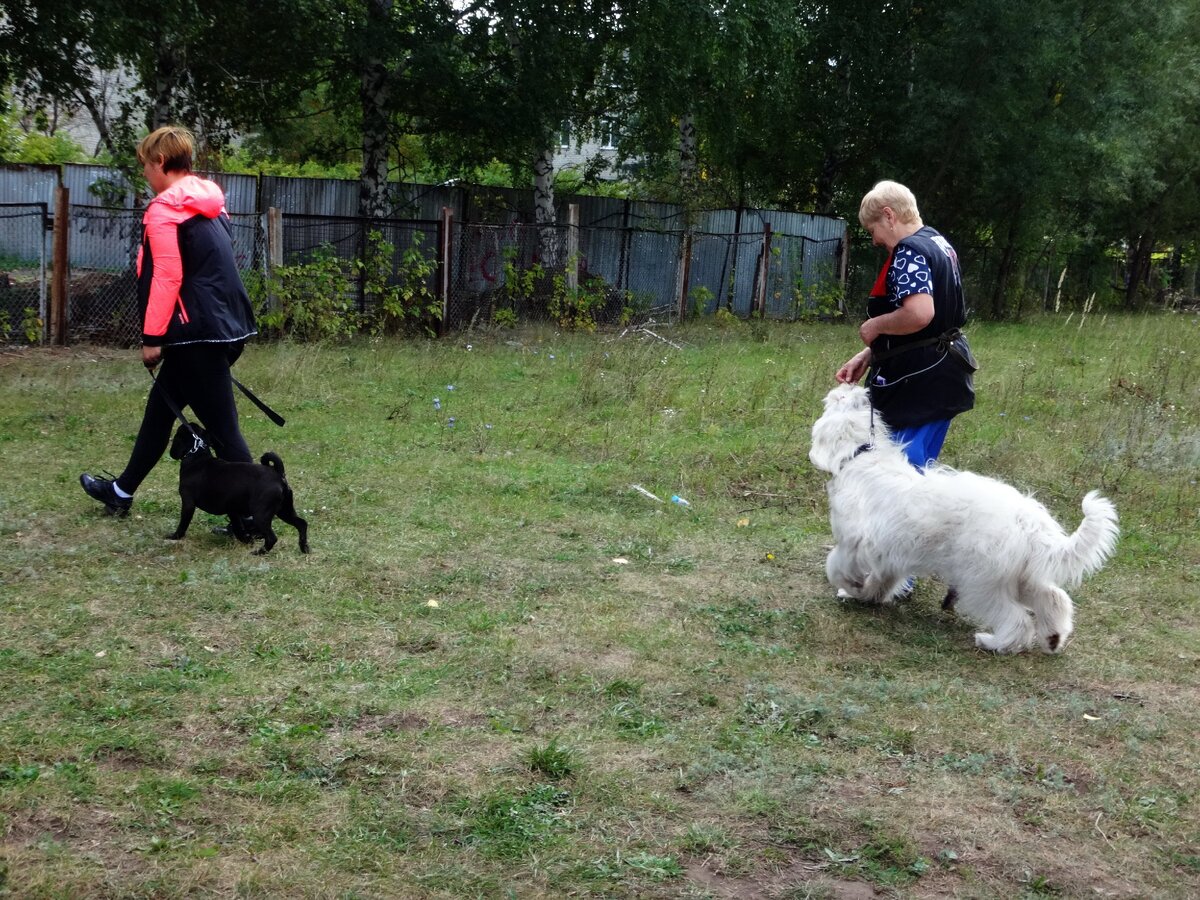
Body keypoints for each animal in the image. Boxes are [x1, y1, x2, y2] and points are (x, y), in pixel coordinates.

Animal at [169, 424, 309, 556]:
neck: (197, 454)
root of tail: (278, 475)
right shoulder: (233, 511)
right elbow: (238, 528)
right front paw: (247, 540)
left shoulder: (188, 504)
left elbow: (183, 524)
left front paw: (174, 536)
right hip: (284, 510)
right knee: (302, 524)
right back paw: (304, 548)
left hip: (261, 515)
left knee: (272, 538)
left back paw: (259, 553)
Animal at [811, 381, 1118, 657]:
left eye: (838, 400)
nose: (850, 384)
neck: (860, 455)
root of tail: (1029, 523)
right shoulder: (890, 556)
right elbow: (880, 581)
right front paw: (866, 595)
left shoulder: (854, 543)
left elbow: (835, 566)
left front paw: (851, 588)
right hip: (1020, 575)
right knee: (1055, 598)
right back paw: (1053, 638)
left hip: (981, 580)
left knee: (1018, 619)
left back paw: (993, 643)